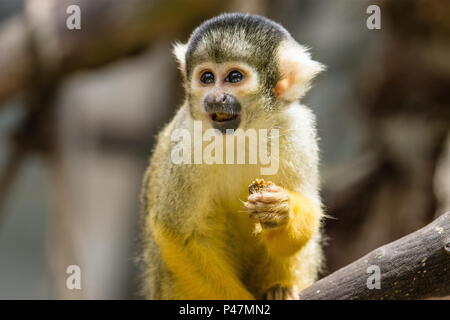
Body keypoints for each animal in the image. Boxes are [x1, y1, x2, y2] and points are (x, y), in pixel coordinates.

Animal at [141, 13, 324, 300]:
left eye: (234, 76)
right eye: (206, 77)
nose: (215, 98)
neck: (243, 133)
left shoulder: (296, 130)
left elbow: (310, 212)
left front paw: (280, 210)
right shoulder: (186, 140)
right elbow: (179, 233)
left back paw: (279, 288)